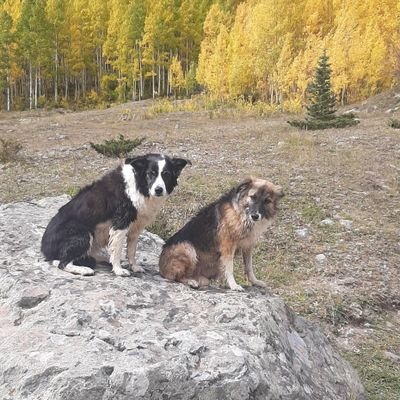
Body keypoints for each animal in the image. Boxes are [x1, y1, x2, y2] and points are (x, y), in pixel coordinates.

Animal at [40, 155, 189, 276]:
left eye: (166, 174)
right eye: (150, 174)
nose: (158, 190)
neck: (139, 185)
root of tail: (44, 248)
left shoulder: (136, 226)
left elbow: (131, 250)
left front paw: (134, 266)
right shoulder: (121, 222)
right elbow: (117, 249)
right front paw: (118, 270)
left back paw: (105, 259)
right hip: (82, 234)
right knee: (62, 263)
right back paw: (84, 269)